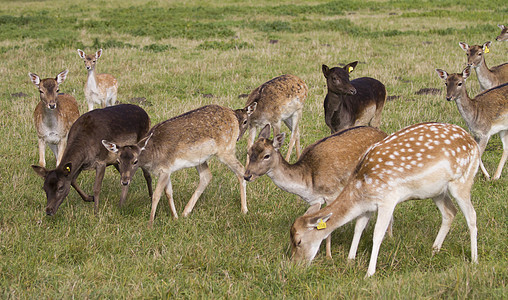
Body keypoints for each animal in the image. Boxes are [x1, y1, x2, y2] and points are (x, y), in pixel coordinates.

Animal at [102, 103, 258, 227]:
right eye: (118, 161)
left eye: (135, 161)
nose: (124, 181)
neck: (153, 156)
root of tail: (233, 114)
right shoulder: (168, 170)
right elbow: (168, 193)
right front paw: (175, 217)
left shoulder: (165, 169)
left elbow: (157, 194)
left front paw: (150, 223)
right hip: (200, 159)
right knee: (207, 176)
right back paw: (185, 212)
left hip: (226, 149)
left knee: (241, 170)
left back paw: (244, 209)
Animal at [244, 123, 386, 258]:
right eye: (249, 152)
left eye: (266, 156)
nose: (247, 176)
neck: (308, 182)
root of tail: (384, 134)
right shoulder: (315, 200)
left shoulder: (331, 194)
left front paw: (328, 256)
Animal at [290, 122, 480, 276]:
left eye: (298, 241)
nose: (295, 265)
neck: (360, 189)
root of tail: (473, 143)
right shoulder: (367, 206)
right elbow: (358, 228)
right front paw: (350, 260)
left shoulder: (388, 199)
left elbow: (378, 234)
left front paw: (369, 273)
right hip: (437, 191)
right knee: (450, 212)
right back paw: (434, 250)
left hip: (462, 181)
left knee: (471, 215)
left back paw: (474, 259)